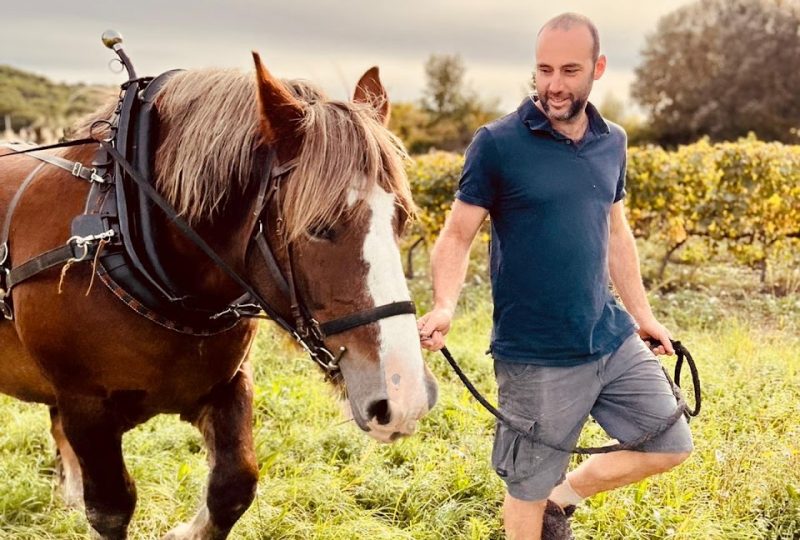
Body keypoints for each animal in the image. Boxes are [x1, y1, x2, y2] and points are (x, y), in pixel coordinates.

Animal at [0, 51, 438, 540]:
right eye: (319, 227)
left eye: (401, 220)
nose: (404, 397)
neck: (124, 226)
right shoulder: (84, 405)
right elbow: (111, 508)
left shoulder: (227, 384)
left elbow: (233, 486)